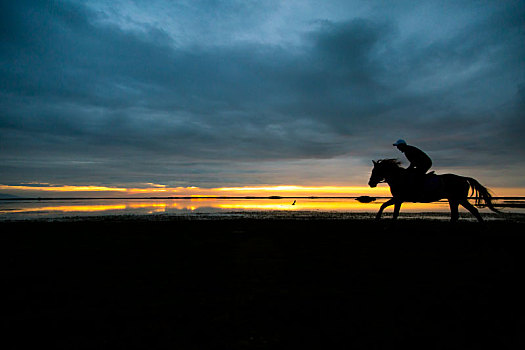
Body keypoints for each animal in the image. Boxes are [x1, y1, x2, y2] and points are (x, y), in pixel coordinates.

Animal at [366, 159, 498, 221]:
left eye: (376, 171)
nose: (370, 183)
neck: (399, 178)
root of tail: (463, 178)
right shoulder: (398, 199)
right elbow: (385, 207)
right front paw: (377, 218)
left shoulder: (399, 199)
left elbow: (391, 211)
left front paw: (378, 219)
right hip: (453, 199)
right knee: (456, 215)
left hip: (460, 199)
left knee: (473, 211)